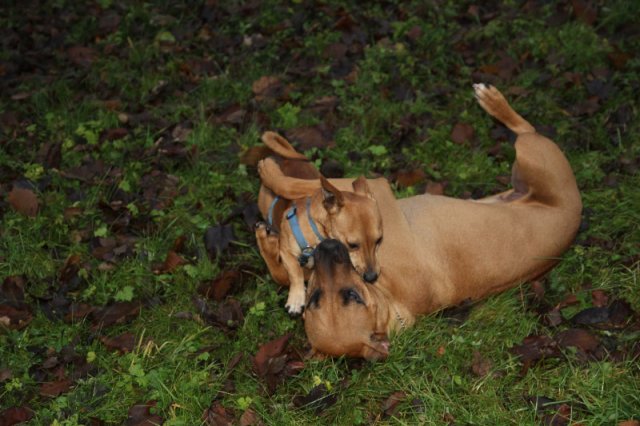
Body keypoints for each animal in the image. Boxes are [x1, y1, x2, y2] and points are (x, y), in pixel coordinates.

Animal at [255, 133, 383, 314]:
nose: (372, 278)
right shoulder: (286, 251)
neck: (317, 232)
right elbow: (294, 272)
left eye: (379, 240)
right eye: (352, 245)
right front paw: (296, 297)